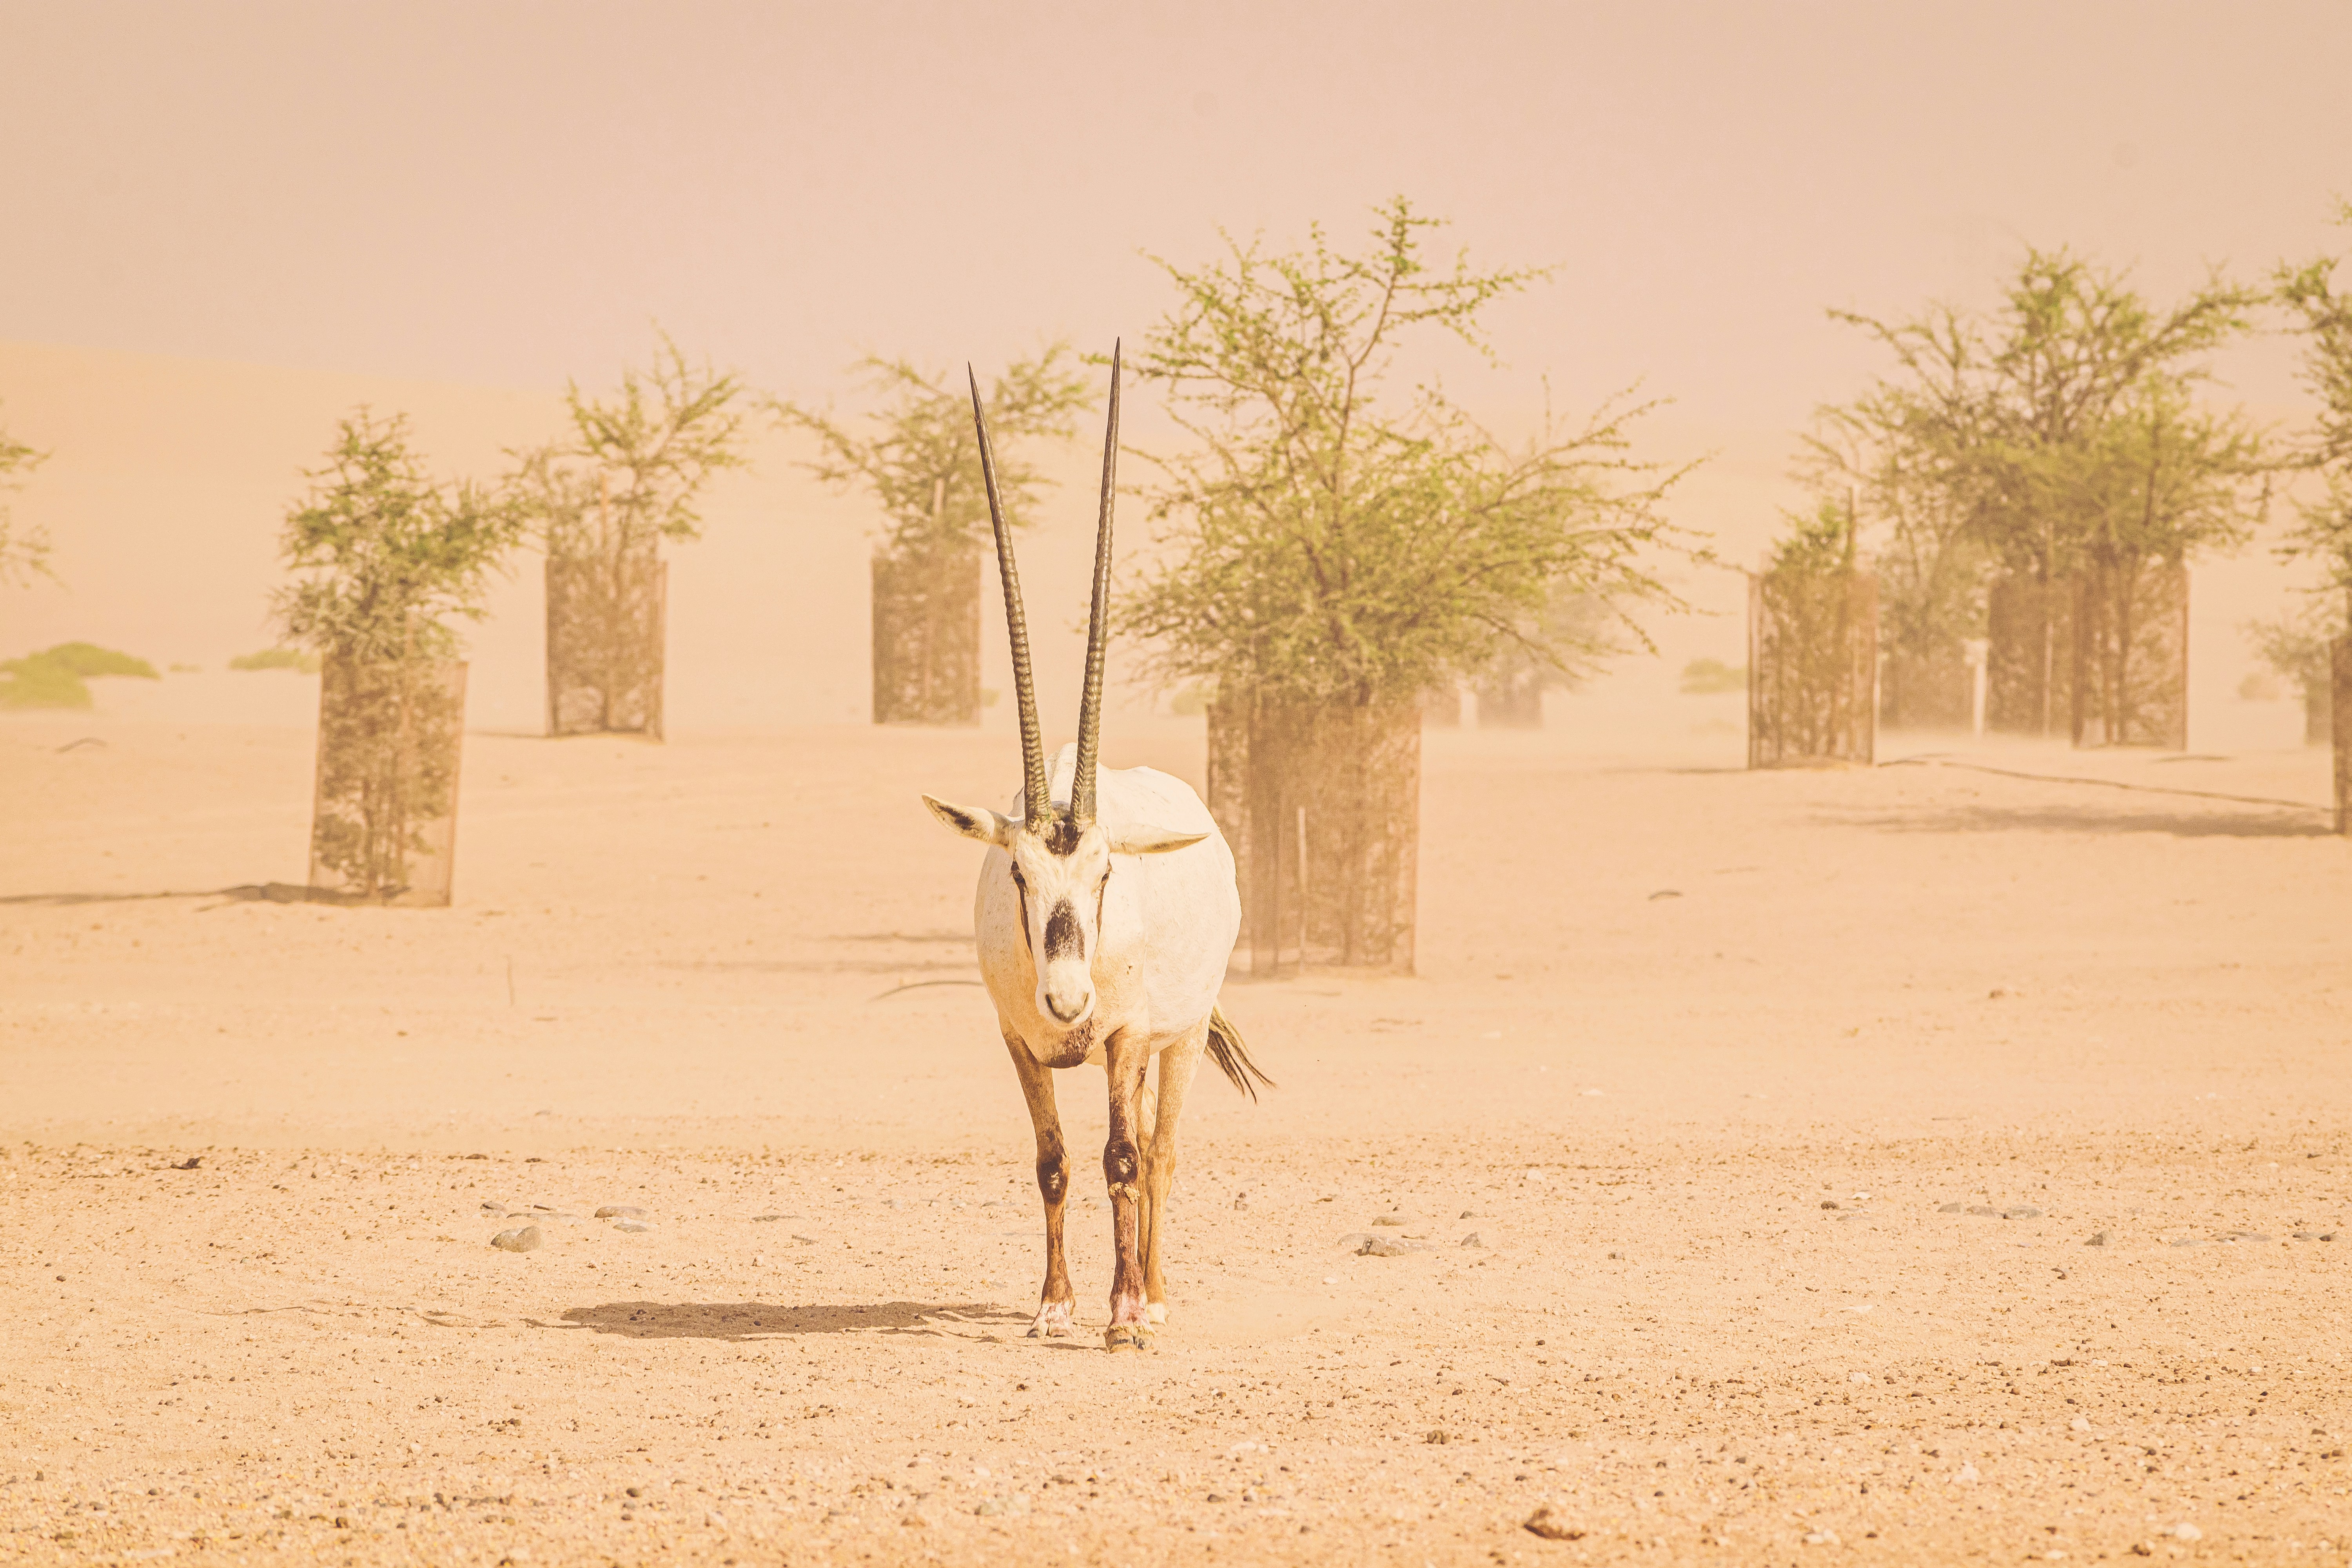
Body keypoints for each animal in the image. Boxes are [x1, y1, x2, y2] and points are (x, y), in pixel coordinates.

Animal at [920, 345, 1273, 1351]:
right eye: (1017, 870)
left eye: (1108, 870)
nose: (1068, 997)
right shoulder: (1019, 1040)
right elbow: (1052, 1159)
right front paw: (1053, 1307)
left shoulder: (1122, 1039)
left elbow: (1121, 1157)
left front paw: (1121, 1318)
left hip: (1177, 1038)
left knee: (1159, 1151)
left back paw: (1153, 1293)